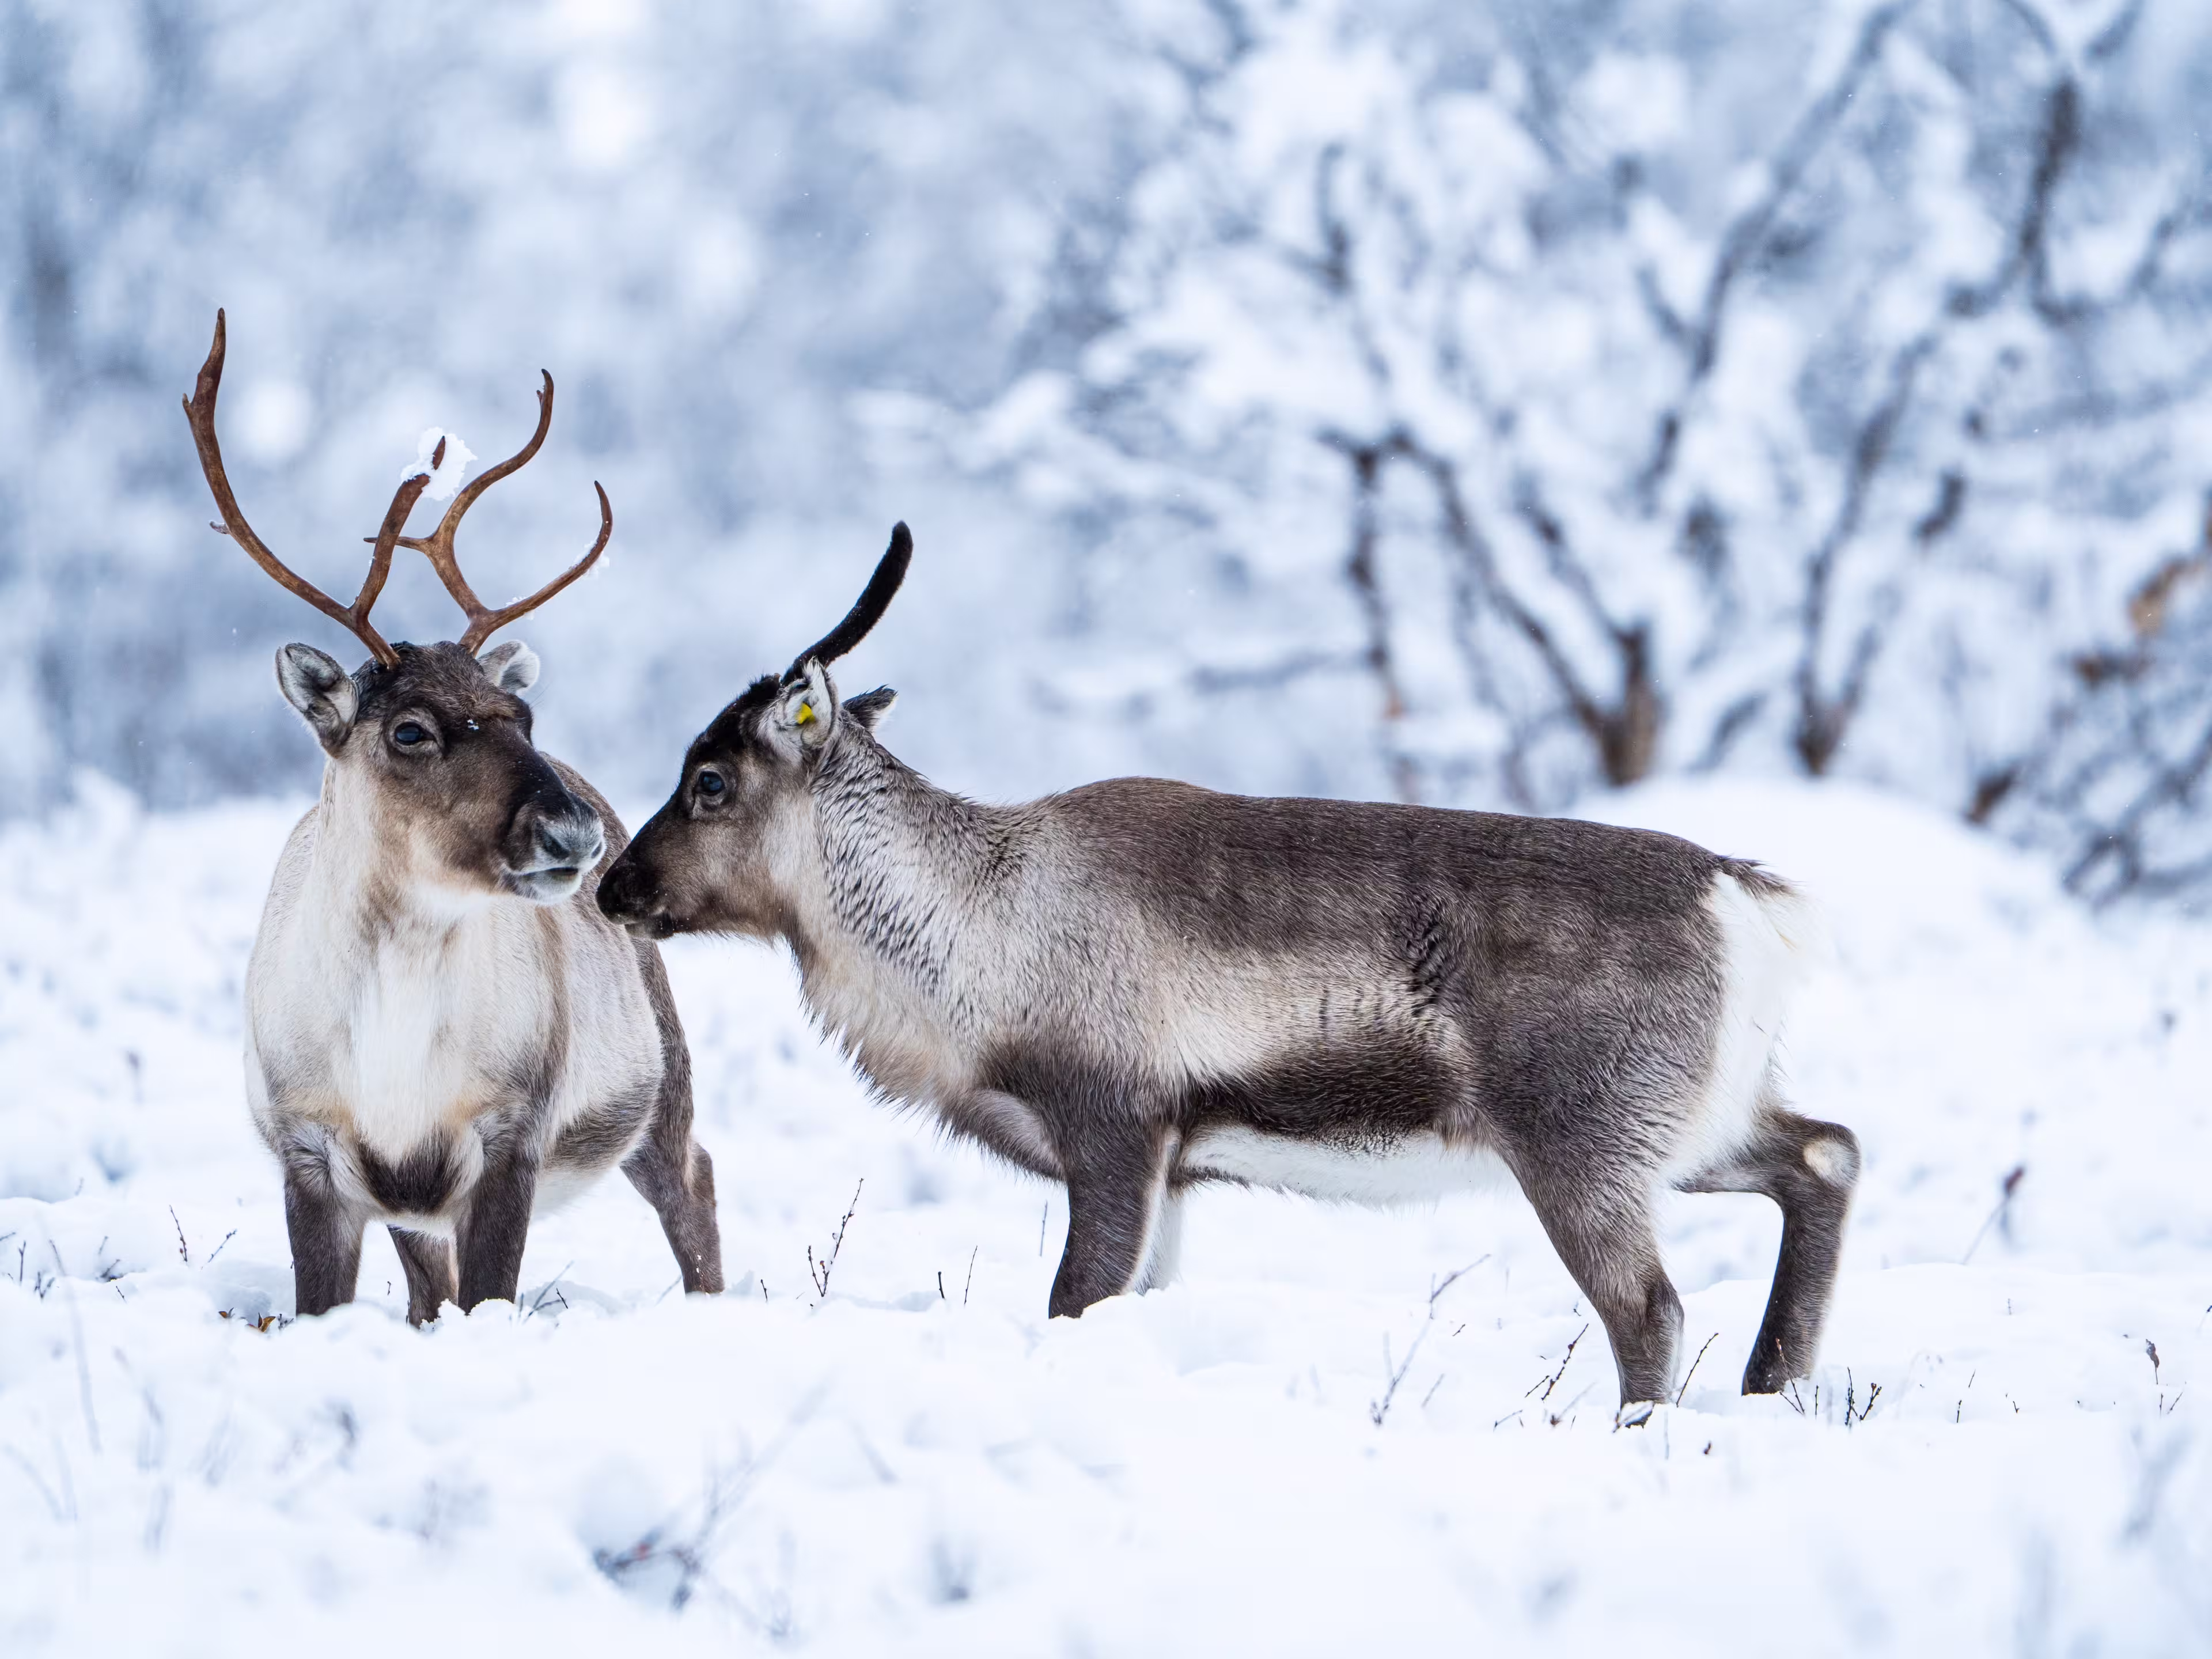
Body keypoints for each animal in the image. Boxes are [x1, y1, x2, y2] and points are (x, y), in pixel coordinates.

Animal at [183, 310, 723, 1323]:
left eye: (521, 716)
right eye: (410, 730)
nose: (574, 832)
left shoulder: (511, 1134)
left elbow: (492, 1299)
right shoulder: (314, 1148)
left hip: (658, 1080)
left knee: (695, 1185)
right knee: (428, 1290)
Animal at [595, 527, 1859, 1408]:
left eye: (710, 781)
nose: (613, 888)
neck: (973, 933)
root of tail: (1746, 896)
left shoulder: (1116, 1129)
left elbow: (1074, 1303)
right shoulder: (1182, 1169)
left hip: (1581, 1143)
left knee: (1651, 1307)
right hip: (1692, 1129)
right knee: (1827, 1152)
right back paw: (1771, 1384)